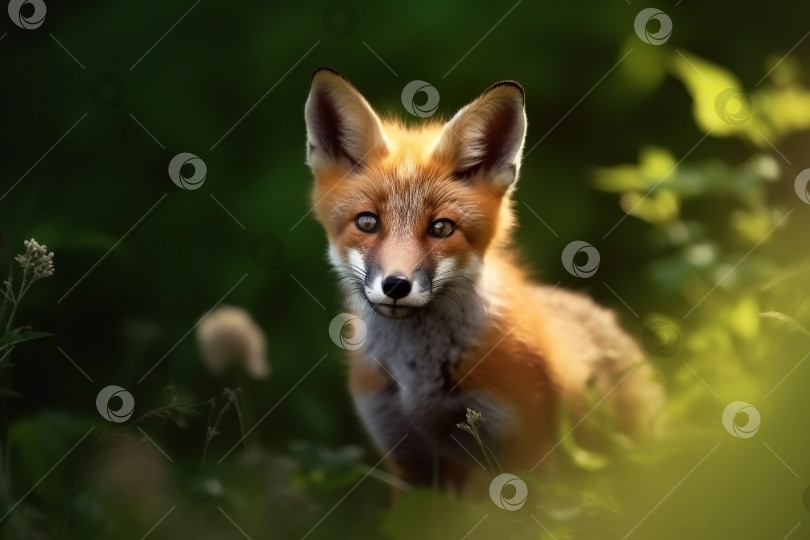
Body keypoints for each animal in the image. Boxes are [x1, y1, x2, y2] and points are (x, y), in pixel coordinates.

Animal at [304, 68, 664, 498]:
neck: (420, 383)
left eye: (442, 228)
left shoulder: (521, 454)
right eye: (367, 222)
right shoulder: (407, 459)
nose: (396, 285)